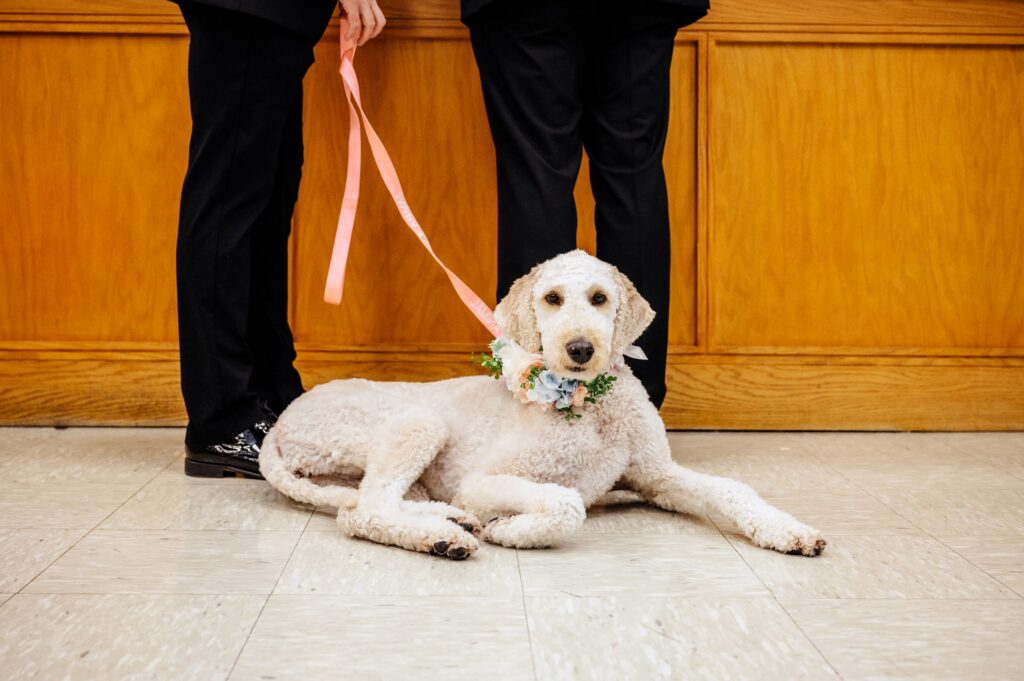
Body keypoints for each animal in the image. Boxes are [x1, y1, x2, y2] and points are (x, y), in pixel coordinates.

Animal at [260, 249, 827, 557]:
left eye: (599, 298)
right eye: (552, 299)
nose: (579, 349)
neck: (591, 409)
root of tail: (280, 424)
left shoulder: (656, 476)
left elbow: (734, 491)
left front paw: (791, 531)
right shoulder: (483, 480)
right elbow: (564, 501)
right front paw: (512, 530)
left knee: (363, 503)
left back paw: (450, 522)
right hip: (416, 424)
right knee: (366, 510)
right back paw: (445, 537)